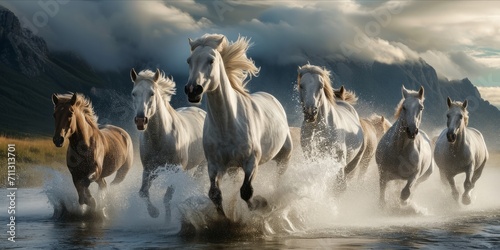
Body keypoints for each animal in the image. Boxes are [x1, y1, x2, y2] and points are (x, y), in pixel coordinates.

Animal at [131, 68, 207, 219]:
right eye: (133, 93)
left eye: (152, 93)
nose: (141, 120)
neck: (160, 139)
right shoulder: (149, 170)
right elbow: (143, 193)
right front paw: (154, 212)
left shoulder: (175, 170)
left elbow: (167, 198)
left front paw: (166, 219)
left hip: (203, 164)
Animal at [185, 33, 292, 217]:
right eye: (189, 61)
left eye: (211, 60)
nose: (193, 90)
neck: (227, 125)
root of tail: (272, 98)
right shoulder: (215, 166)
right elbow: (214, 194)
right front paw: (225, 218)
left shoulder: (251, 162)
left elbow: (246, 191)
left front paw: (261, 204)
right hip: (233, 169)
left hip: (284, 157)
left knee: (279, 178)